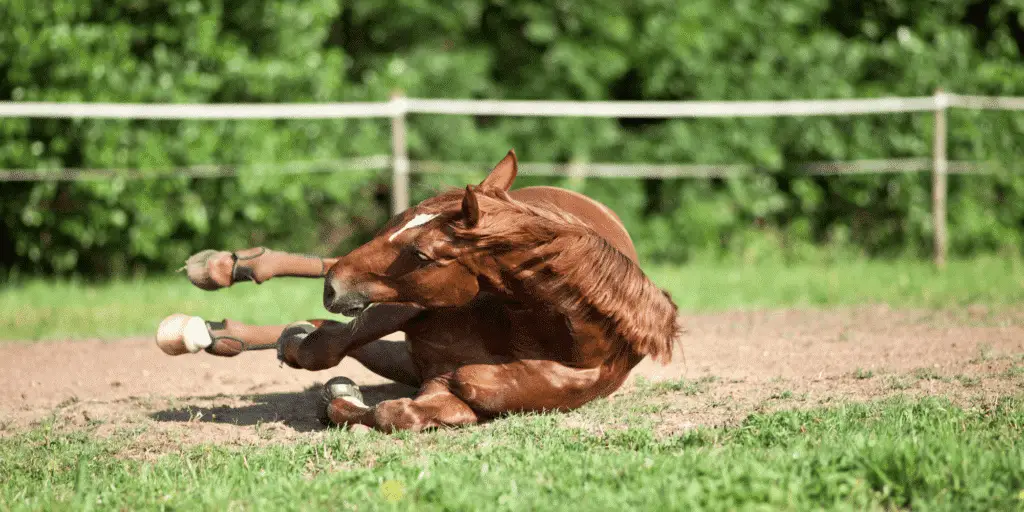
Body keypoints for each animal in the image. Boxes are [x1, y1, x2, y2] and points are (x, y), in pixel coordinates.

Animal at [155, 149, 684, 432]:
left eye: (424, 255)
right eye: (402, 224)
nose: (333, 288)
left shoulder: (447, 390)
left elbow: (396, 412)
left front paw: (341, 397)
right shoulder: (409, 305)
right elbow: (328, 346)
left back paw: (224, 329)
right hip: (395, 305)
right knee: (331, 304)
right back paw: (221, 275)